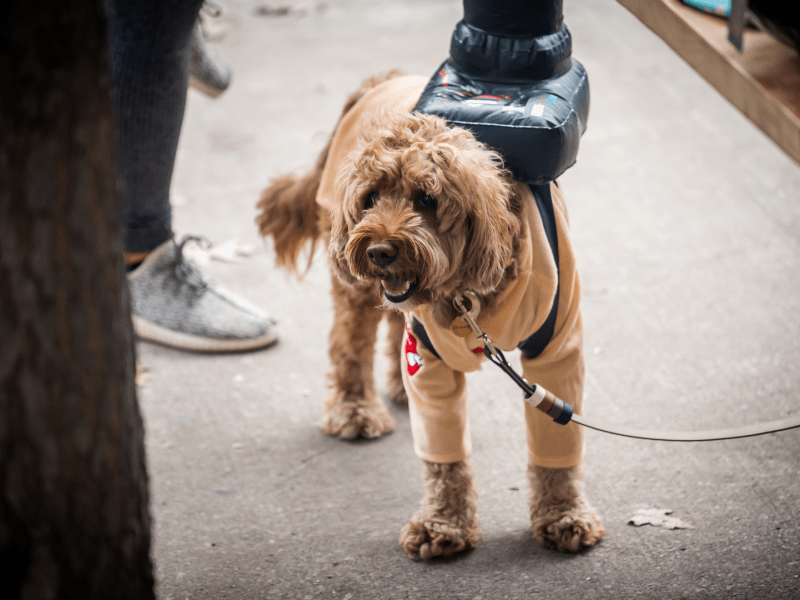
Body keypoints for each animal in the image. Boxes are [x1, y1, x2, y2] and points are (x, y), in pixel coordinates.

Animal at [260, 71, 604, 556]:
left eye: (426, 199)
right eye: (370, 198)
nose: (380, 251)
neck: (464, 297)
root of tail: (380, 79)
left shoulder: (558, 348)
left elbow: (557, 441)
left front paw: (563, 516)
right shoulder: (426, 358)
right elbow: (444, 458)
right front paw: (444, 523)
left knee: (390, 325)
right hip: (354, 285)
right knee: (349, 344)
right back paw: (354, 409)